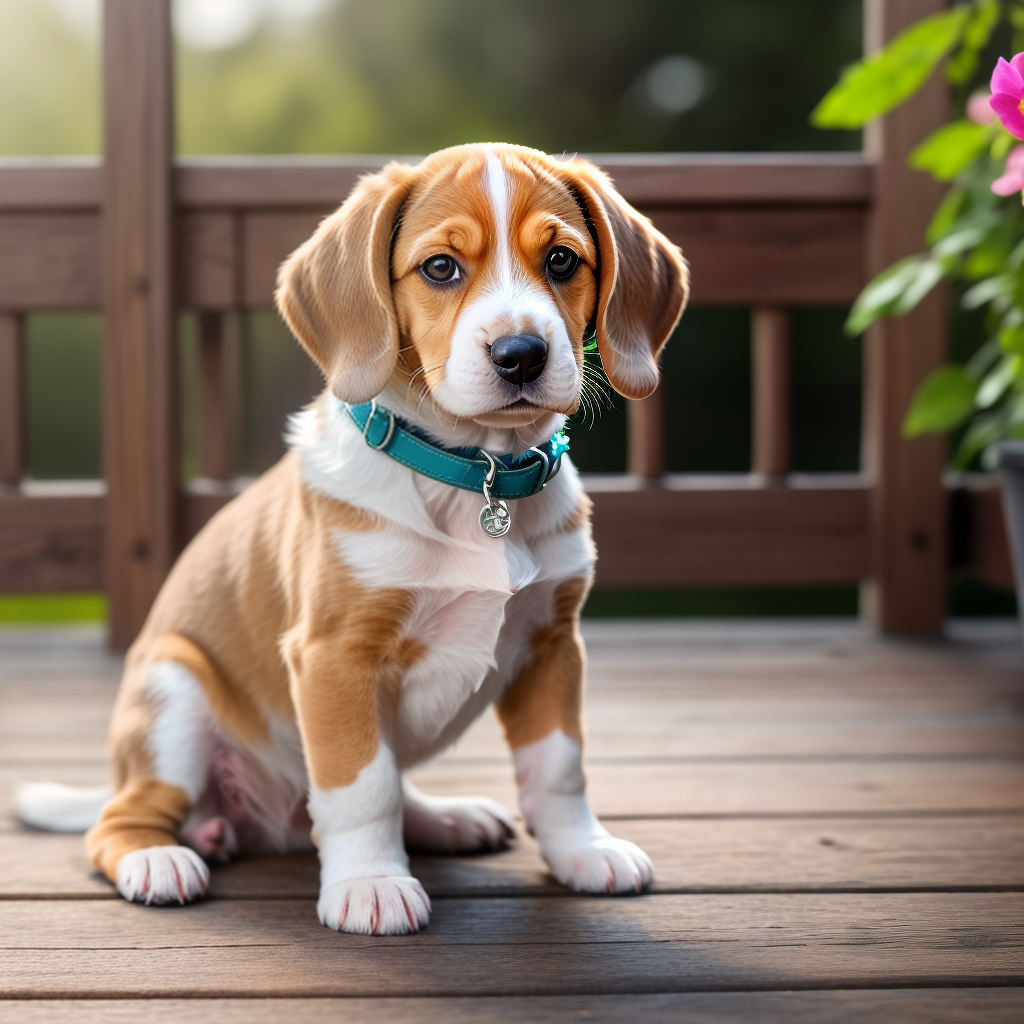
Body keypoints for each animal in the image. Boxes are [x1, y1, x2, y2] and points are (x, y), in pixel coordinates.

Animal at [16, 144, 688, 937]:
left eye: (561, 260)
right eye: (440, 268)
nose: (521, 354)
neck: (478, 476)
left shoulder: (554, 644)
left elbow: (558, 768)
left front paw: (583, 851)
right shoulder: (337, 655)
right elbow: (361, 784)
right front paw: (371, 882)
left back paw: (445, 818)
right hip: (172, 694)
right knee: (123, 819)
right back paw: (159, 857)